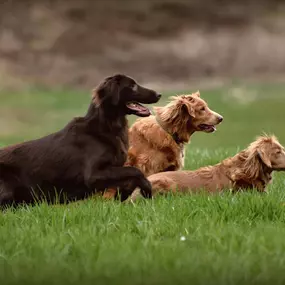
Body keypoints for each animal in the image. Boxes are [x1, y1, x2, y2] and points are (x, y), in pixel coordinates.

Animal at [0, 74, 160, 206]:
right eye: (132, 85)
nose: (159, 94)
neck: (107, 127)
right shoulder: (93, 175)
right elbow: (136, 171)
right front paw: (146, 191)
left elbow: (130, 177)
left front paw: (123, 195)